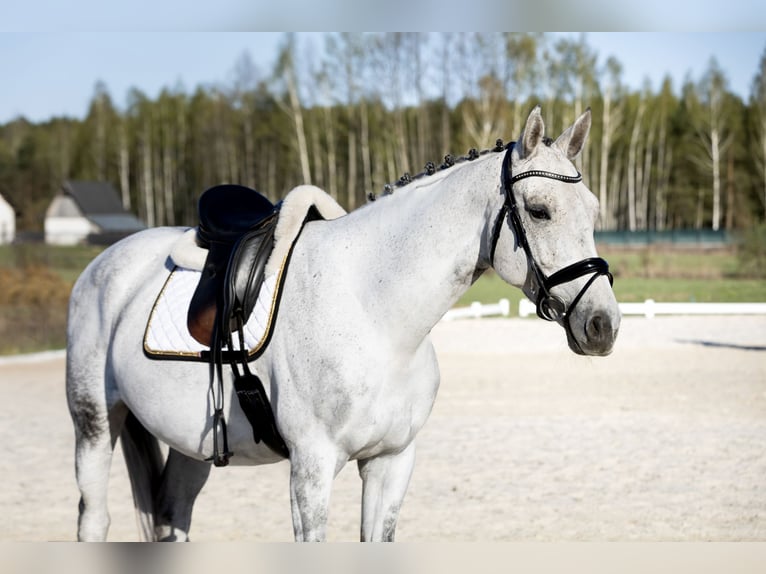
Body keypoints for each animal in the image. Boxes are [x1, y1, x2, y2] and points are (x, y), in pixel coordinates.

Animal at [65, 105, 620, 542]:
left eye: (593, 209)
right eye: (540, 210)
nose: (603, 325)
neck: (375, 315)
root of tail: (104, 264)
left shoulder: (392, 463)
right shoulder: (311, 472)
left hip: (190, 445)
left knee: (172, 515)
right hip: (94, 424)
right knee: (94, 518)